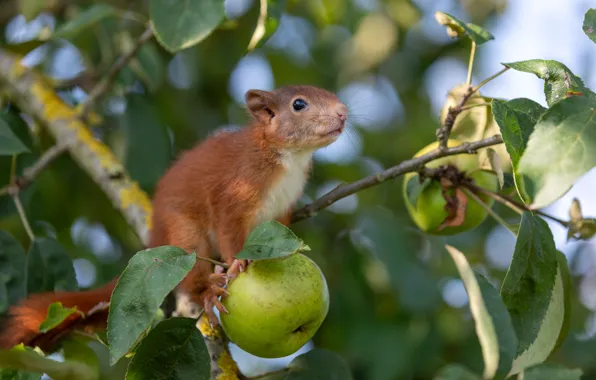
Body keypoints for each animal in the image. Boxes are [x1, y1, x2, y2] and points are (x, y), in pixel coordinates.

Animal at [0, 84, 346, 352]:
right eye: (299, 104)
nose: (343, 112)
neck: (287, 158)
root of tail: (156, 231)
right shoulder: (236, 188)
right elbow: (229, 227)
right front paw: (237, 261)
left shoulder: (283, 208)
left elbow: (281, 232)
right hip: (186, 234)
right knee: (193, 269)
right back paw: (206, 291)